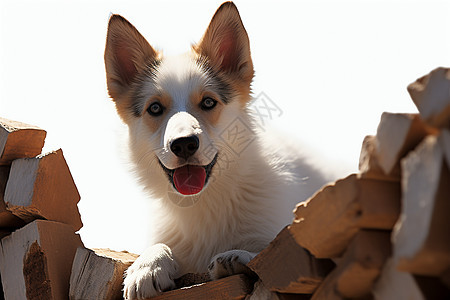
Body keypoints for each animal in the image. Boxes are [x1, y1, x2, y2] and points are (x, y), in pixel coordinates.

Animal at [104, 1, 330, 298]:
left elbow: (265, 254)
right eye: (154, 108)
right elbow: (156, 246)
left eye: (209, 102)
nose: (184, 143)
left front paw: (239, 255)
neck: (205, 203)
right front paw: (148, 266)